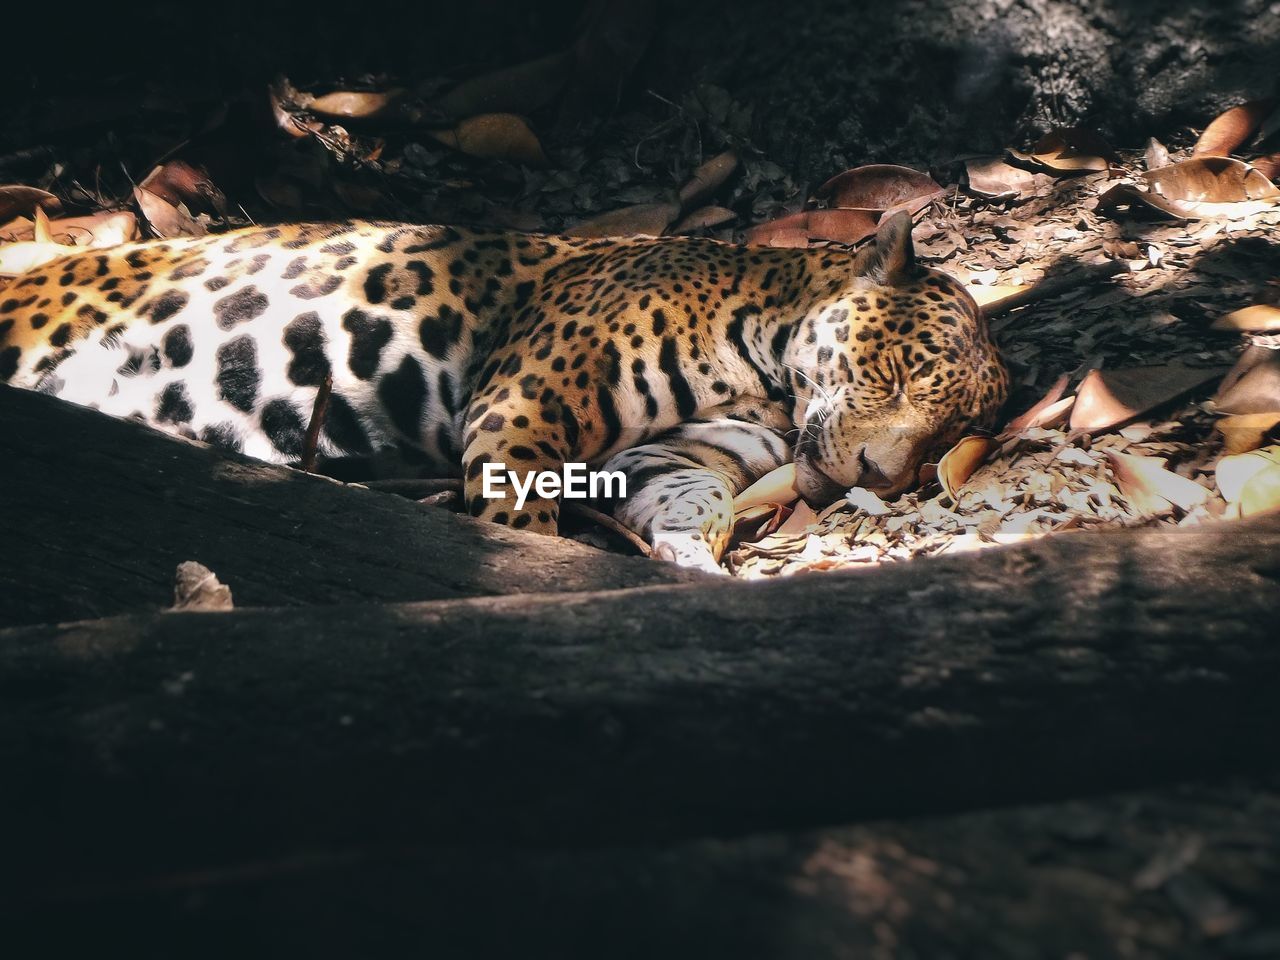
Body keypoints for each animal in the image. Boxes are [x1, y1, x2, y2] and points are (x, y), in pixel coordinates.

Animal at [0, 209, 1008, 570]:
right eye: (898, 371)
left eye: (947, 433)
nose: (881, 477)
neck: (764, 372)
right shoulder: (526, 401)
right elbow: (521, 504)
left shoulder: (667, 460)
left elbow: (692, 504)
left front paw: (690, 565)